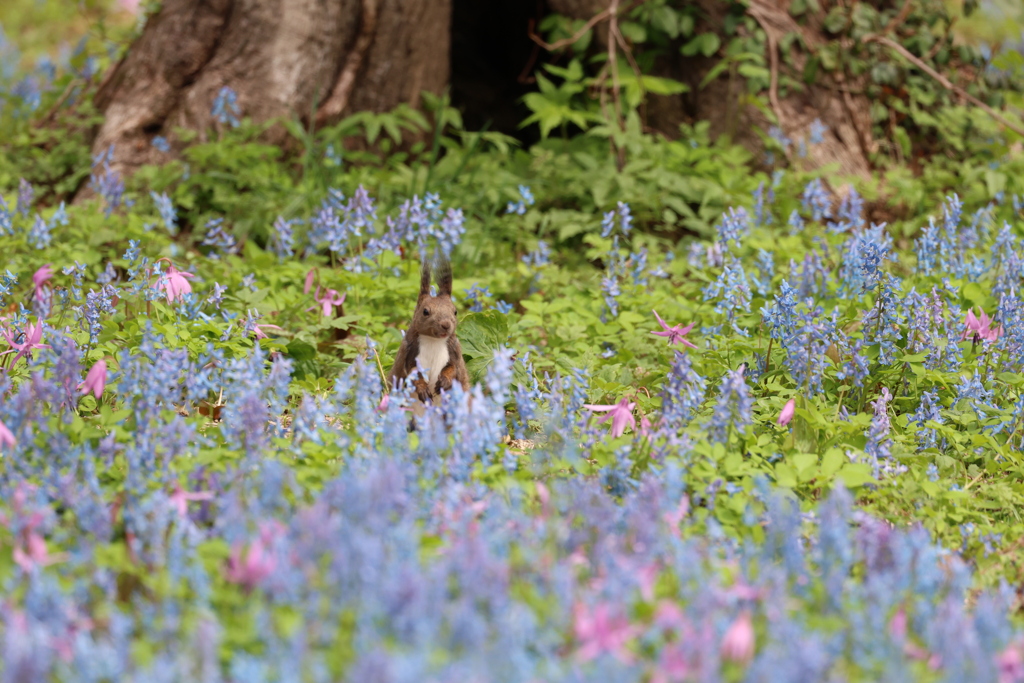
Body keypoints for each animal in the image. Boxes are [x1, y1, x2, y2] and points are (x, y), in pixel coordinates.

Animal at [385, 258, 468, 405]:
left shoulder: (454, 351)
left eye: (455, 311)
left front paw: (444, 381)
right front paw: (423, 389)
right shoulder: (409, 353)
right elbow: (413, 374)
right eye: (425, 311)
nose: (446, 325)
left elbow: (453, 368)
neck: (433, 341)